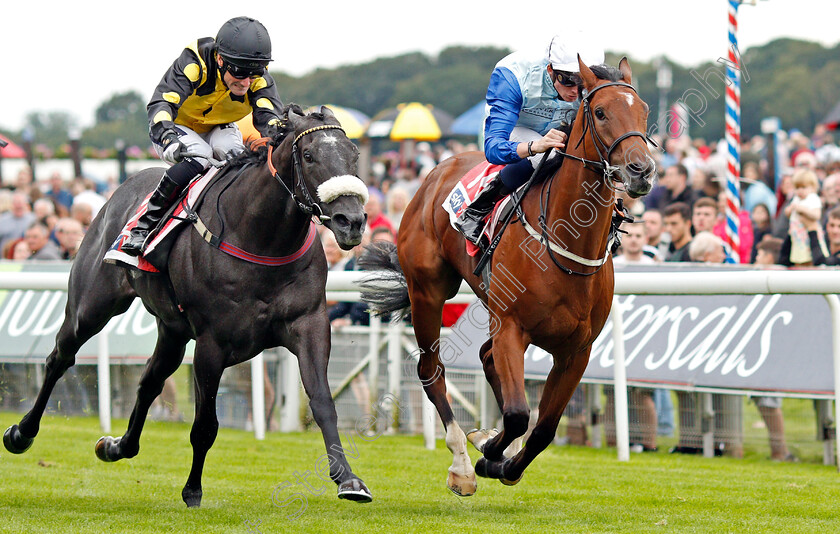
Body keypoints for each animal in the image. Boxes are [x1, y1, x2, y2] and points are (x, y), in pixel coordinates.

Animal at [2, 107, 370, 508]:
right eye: (309, 155)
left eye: (354, 154)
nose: (351, 222)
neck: (262, 239)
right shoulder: (212, 343)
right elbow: (205, 424)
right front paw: (193, 490)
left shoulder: (310, 324)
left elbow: (323, 402)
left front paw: (349, 479)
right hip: (91, 306)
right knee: (60, 358)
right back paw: (21, 433)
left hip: (172, 331)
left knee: (149, 380)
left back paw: (116, 446)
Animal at [360, 56, 656, 496]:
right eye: (601, 112)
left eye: (645, 112)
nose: (641, 171)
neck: (565, 242)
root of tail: (436, 171)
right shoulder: (513, 327)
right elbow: (518, 414)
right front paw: (487, 457)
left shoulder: (576, 350)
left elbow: (544, 428)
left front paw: (502, 458)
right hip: (428, 291)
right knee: (432, 371)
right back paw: (462, 463)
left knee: (485, 357)